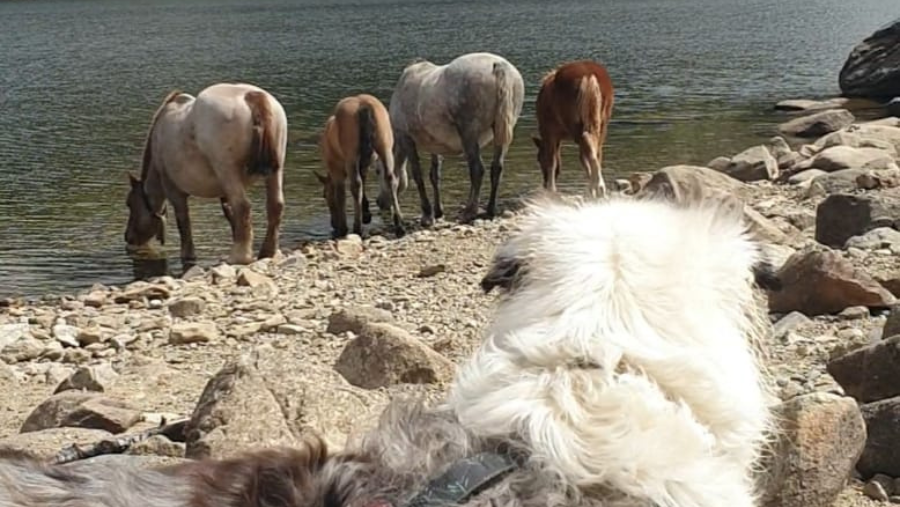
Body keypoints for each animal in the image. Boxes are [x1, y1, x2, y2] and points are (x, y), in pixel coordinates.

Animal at [124, 82, 288, 266]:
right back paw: (267, 252)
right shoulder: (223, 192)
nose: (128, 237)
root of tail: (251, 96)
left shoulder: (172, 188)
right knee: (275, 205)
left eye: (129, 203)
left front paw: (188, 255)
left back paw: (239, 257)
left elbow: (183, 221)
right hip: (276, 168)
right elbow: (230, 215)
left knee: (243, 206)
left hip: (226, 169)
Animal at [314, 94, 405, 238]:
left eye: (325, 195)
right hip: (385, 148)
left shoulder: (336, 168)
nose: (333, 224)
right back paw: (399, 225)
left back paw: (357, 228)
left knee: (356, 185)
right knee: (391, 180)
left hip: (351, 155)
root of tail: (364, 105)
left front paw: (342, 227)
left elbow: (341, 194)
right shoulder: (364, 164)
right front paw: (366, 213)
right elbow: (364, 180)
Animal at [375, 52, 525, 226]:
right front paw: (438, 211)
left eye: (377, 171)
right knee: (496, 168)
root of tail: (499, 66)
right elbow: (434, 175)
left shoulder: (406, 137)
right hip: (502, 131)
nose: (379, 202)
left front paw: (427, 214)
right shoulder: (435, 144)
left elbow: (418, 175)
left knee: (477, 169)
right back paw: (489, 210)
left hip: (468, 132)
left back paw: (469, 211)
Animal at [532, 60, 614, 198]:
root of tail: (589, 76)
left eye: (538, 158)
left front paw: (551, 189)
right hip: (602, 124)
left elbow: (552, 161)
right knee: (596, 151)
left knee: (588, 145)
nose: (544, 183)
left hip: (576, 127)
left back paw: (598, 187)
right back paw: (599, 188)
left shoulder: (550, 133)